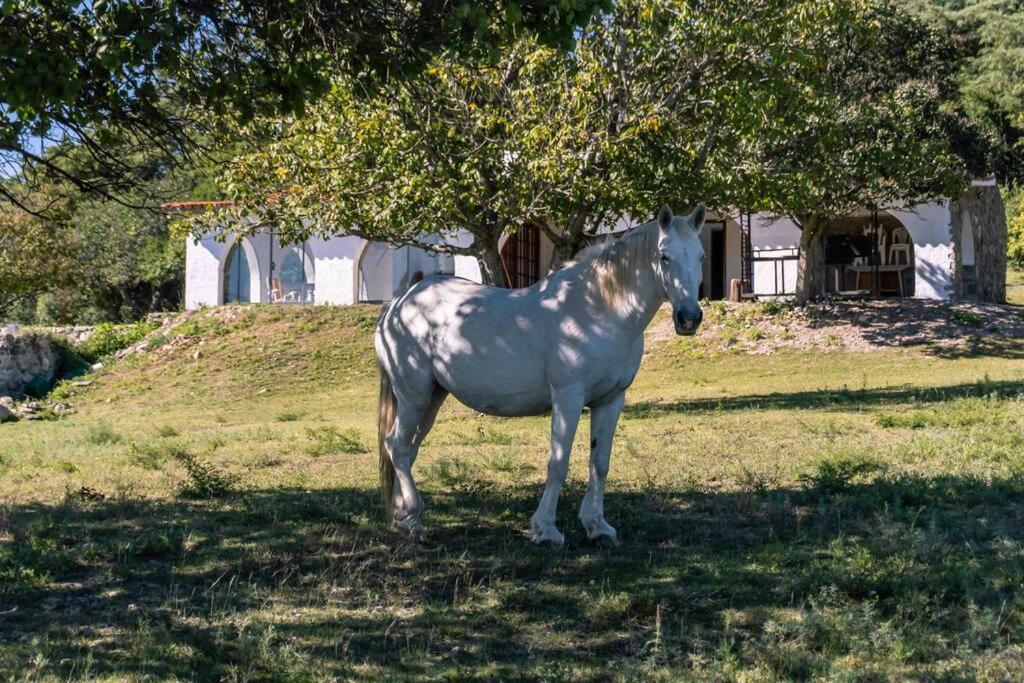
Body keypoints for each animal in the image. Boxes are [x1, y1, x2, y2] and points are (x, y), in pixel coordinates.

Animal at [376, 202, 704, 544]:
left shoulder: (611, 400)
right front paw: (546, 528)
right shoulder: (568, 398)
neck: (597, 310)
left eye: (701, 256)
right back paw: (413, 519)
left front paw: (598, 526)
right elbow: (558, 462)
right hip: (413, 396)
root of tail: (398, 305)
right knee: (397, 446)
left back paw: (402, 516)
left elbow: (600, 463)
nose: (689, 318)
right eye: (664, 256)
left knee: (408, 448)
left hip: (433, 397)